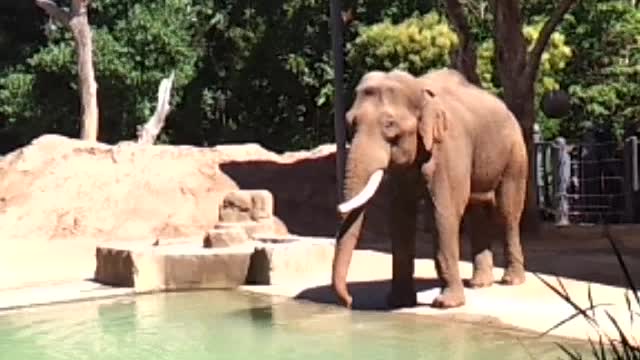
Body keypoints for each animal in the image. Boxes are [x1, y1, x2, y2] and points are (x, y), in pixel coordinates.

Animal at [332, 67, 528, 310]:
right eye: (351, 123)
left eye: (389, 125)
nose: (349, 301)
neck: (420, 90)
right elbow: (400, 215)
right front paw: (398, 302)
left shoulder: (448, 147)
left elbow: (443, 212)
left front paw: (446, 304)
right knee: (478, 211)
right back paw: (479, 284)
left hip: (515, 154)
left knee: (507, 212)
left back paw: (511, 281)